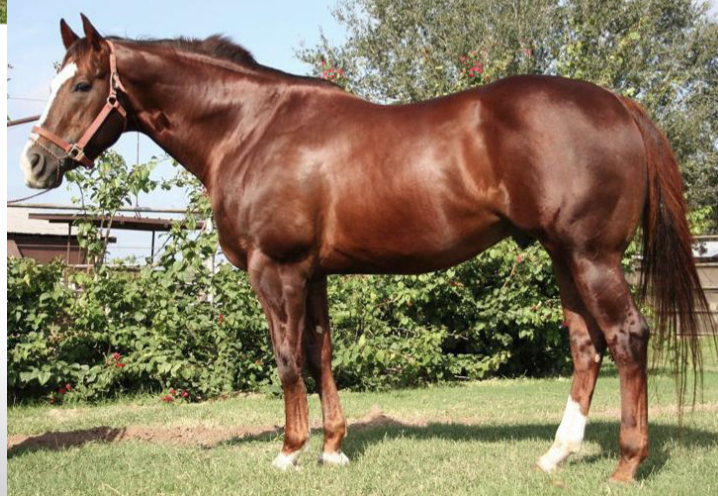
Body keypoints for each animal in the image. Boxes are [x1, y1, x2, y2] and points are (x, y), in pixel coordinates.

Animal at [20, 14, 713, 482]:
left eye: (82, 85)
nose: (34, 163)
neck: (251, 128)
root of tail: (618, 103)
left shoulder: (277, 270)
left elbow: (286, 358)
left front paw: (289, 452)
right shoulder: (314, 273)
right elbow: (320, 354)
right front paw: (332, 447)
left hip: (591, 254)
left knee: (626, 337)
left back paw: (626, 465)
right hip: (563, 255)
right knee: (586, 346)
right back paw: (556, 454)